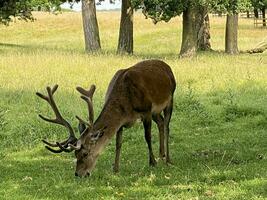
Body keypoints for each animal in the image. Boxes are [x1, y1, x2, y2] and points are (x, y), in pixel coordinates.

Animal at [36, 59, 177, 177]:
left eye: (85, 153)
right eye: (75, 154)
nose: (78, 174)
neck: (126, 106)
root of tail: (167, 66)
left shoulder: (146, 111)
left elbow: (147, 137)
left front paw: (152, 163)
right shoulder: (121, 122)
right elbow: (118, 143)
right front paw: (115, 169)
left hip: (170, 98)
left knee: (166, 125)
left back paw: (168, 159)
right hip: (156, 112)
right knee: (160, 122)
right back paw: (161, 154)